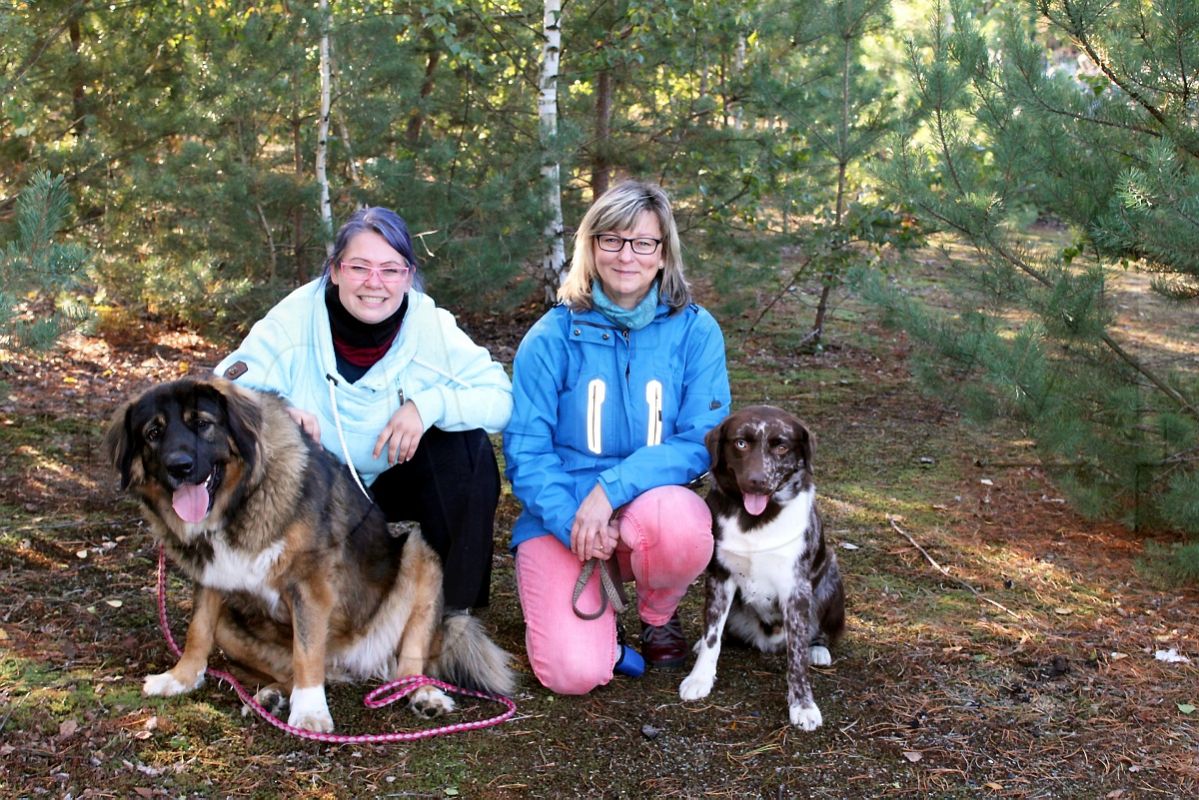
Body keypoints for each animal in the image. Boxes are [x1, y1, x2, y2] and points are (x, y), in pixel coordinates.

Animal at [105, 379, 513, 734]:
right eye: (153, 433)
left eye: (203, 424)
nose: (180, 467)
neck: (240, 504)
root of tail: (352, 663)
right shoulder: (211, 576)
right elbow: (198, 630)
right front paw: (182, 677)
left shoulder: (309, 584)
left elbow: (307, 651)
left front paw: (311, 712)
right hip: (234, 628)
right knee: (284, 670)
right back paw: (269, 696)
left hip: (419, 555)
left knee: (410, 662)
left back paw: (424, 693)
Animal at [681, 407, 848, 734]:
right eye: (741, 443)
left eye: (781, 445)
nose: (756, 481)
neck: (755, 519)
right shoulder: (719, 578)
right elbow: (712, 636)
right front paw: (700, 677)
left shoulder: (796, 589)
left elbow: (797, 657)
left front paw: (802, 705)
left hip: (832, 578)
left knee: (818, 633)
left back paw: (819, 649)